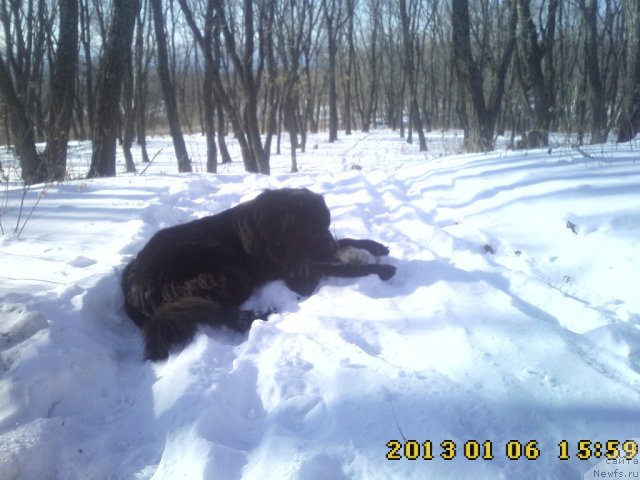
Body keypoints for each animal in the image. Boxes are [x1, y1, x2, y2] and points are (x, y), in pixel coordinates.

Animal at [121, 188, 396, 360]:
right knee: (217, 311)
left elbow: (346, 240)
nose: (328, 247)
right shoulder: (297, 272)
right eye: (312, 230)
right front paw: (381, 269)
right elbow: (340, 267)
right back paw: (263, 314)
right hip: (224, 274)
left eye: (326, 225)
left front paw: (375, 246)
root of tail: (132, 290)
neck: (275, 231)